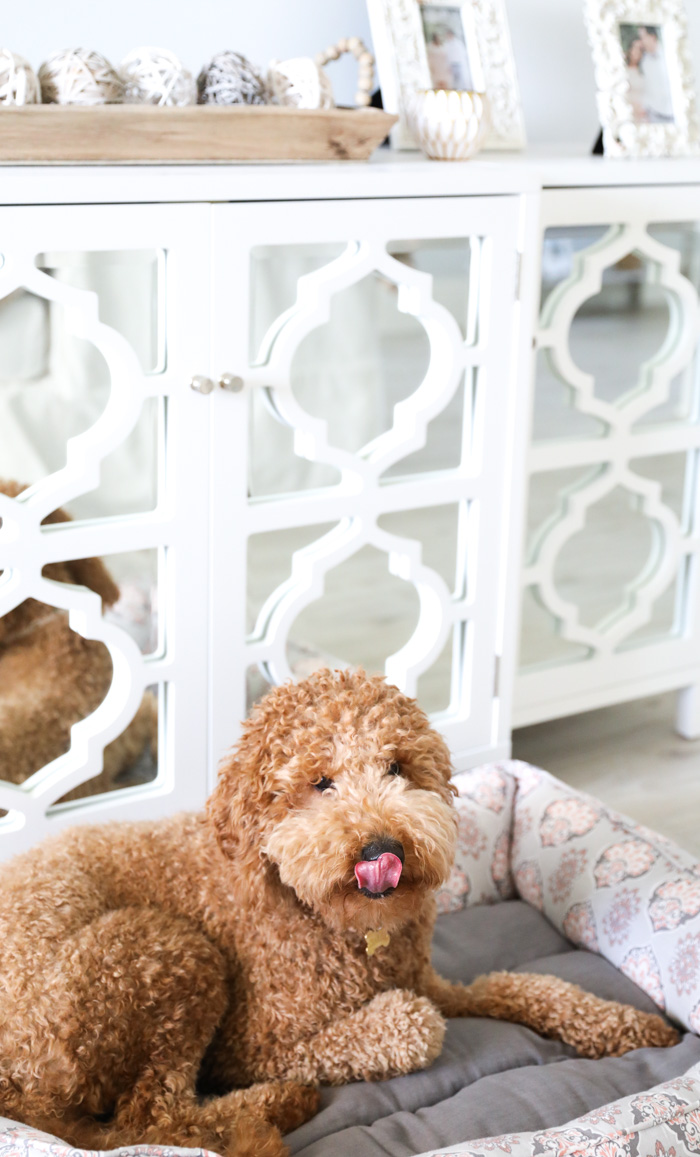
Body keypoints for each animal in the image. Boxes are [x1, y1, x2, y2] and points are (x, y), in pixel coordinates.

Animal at [0, 671, 675, 1157]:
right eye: (321, 782)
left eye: (396, 767)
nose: (382, 849)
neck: (324, 917)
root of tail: (17, 1088)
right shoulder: (252, 1048)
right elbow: (412, 1025)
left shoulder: (433, 979)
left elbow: (523, 984)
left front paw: (622, 1022)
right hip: (167, 951)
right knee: (154, 1117)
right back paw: (279, 1107)